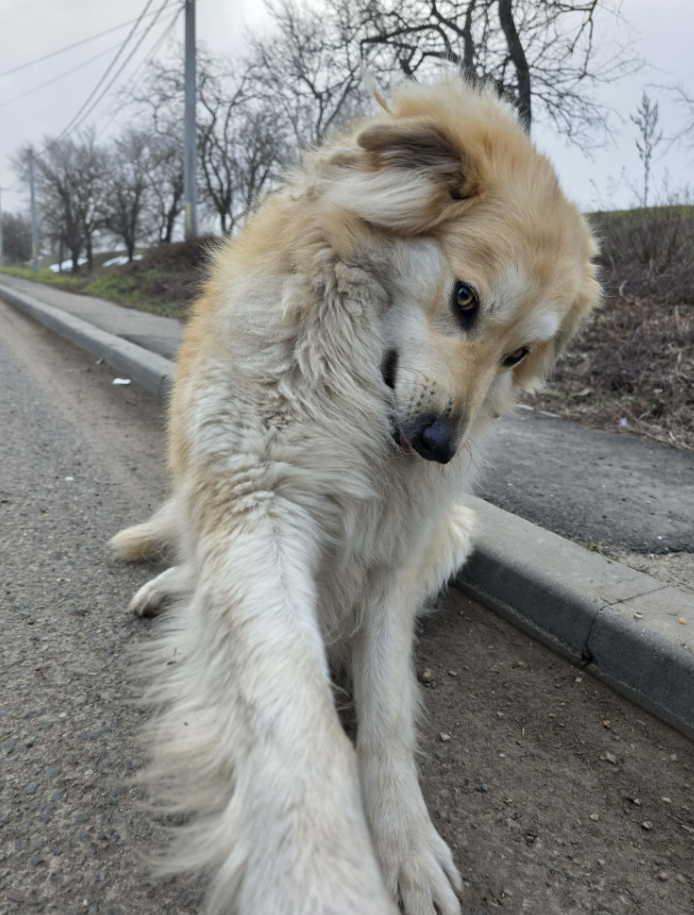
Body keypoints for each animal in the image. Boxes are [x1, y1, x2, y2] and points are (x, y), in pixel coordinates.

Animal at [111, 77, 600, 915]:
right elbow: (293, 715)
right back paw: (170, 584)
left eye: (519, 355)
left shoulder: (392, 562)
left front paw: (405, 841)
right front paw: (319, 874)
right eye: (464, 299)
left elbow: (388, 712)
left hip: (456, 532)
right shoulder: (255, 502)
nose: (441, 445)